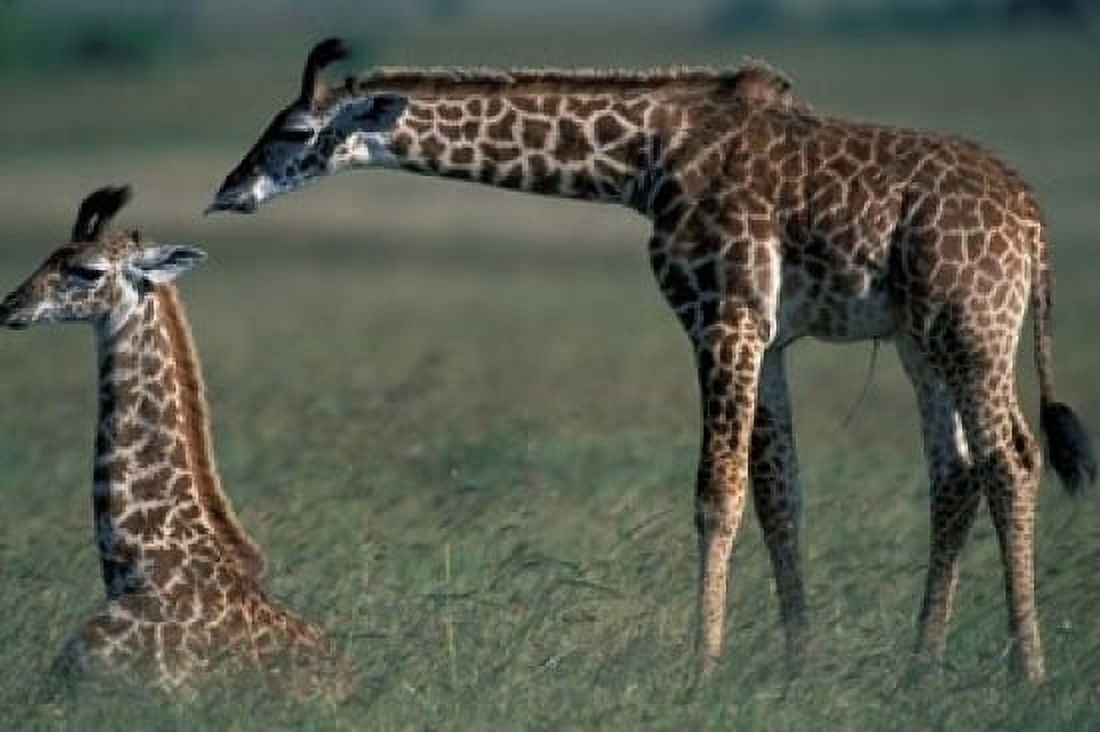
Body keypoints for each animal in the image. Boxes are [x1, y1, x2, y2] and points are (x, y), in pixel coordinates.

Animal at [207, 38, 1096, 682]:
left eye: (294, 132)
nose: (227, 194)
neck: (642, 159)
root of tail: (1035, 224)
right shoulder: (767, 334)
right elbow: (779, 495)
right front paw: (796, 665)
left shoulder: (722, 318)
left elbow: (718, 493)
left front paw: (701, 670)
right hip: (921, 341)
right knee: (954, 474)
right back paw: (922, 665)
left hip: (973, 327)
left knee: (1011, 460)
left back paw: (1028, 670)